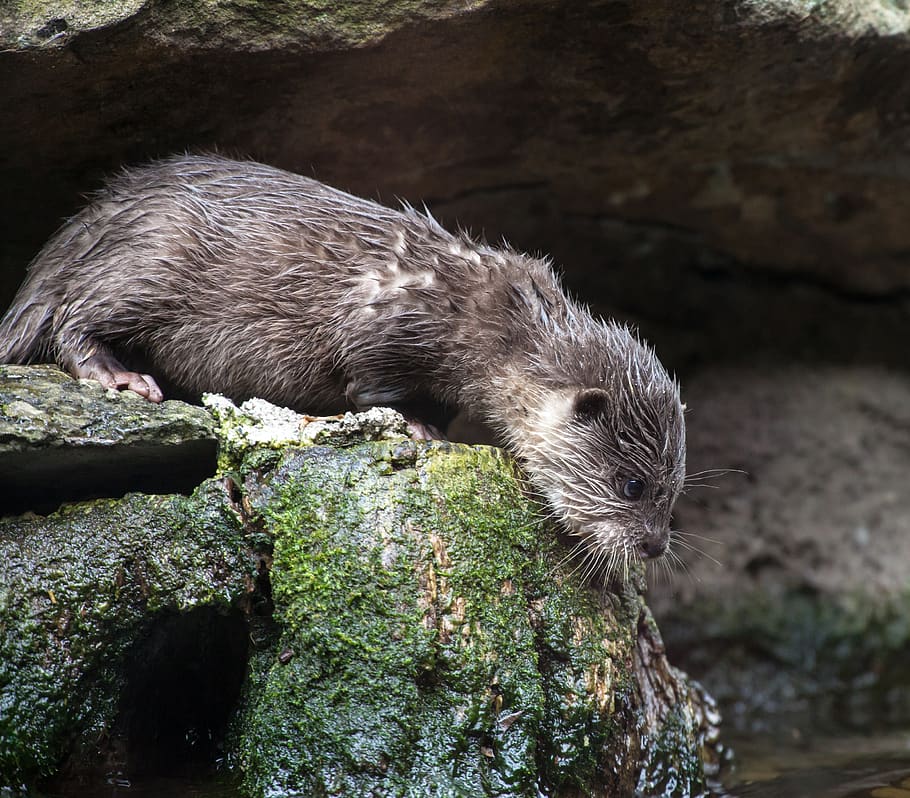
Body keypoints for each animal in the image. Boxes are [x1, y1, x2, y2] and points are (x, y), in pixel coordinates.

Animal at [0, 154, 685, 574]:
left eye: (673, 493)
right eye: (632, 485)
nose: (654, 545)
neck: (493, 323)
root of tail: (87, 221)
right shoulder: (388, 322)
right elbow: (370, 384)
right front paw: (419, 429)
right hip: (148, 262)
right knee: (74, 315)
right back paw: (120, 376)